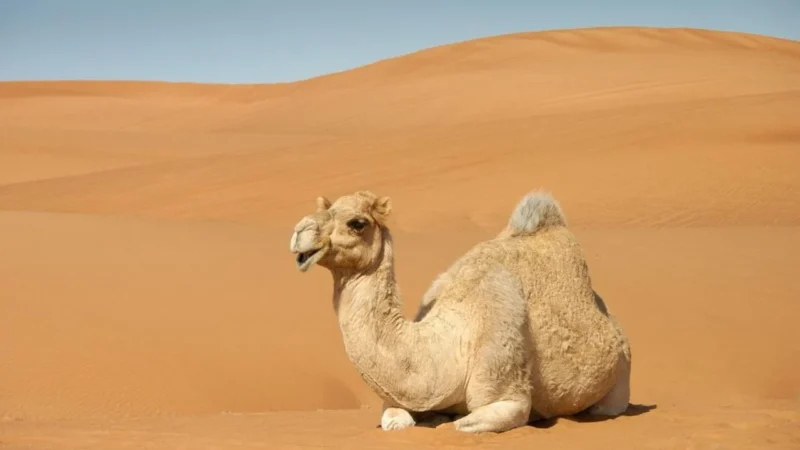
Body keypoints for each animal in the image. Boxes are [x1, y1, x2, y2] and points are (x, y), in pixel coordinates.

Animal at [289, 190, 631, 433]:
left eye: (357, 223)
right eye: (326, 208)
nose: (299, 231)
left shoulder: (506, 396)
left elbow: (462, 424)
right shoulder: (398, 398)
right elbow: (394, 420)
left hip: (621, 375)